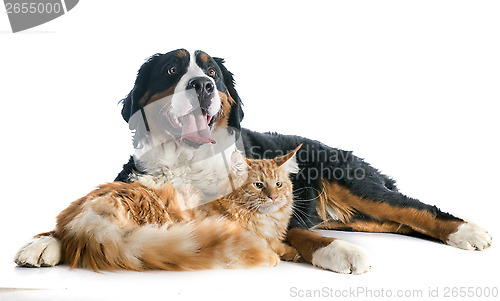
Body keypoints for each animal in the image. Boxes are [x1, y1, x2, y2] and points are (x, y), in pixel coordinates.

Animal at [17, 145, 300, 270]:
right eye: (258, 185)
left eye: (278, 184)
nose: (274, 197)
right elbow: (263, 246)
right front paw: (274, 255)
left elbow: (280, 243)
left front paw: (290, 251)